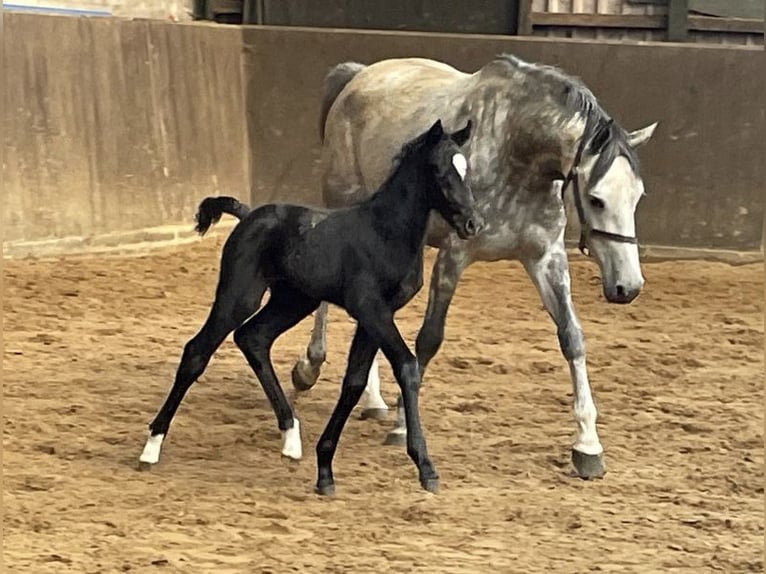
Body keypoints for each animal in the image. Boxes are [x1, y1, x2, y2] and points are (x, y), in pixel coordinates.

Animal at [141, 120, 484, 496]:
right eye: (439, 170)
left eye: (466, 169)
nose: (473, 224)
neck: (383, 233)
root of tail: (248, 214)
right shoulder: (370, 309)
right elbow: (406, 366)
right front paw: (426, 468)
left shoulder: (376, 316)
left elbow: (354, 382)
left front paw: (325, 470)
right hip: (239, 295)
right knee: (197, 351)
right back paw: (151, 447)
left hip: (293, 300)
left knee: (253, 337)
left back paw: (291, 436)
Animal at [292, 54, 656, 480]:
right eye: (597, 199)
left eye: (638, 195)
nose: (628, 286)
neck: (518, 150)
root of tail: (359, 76)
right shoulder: (454, 255)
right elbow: (429, 339)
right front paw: (402, 426)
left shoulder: (545, 258)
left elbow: (572, 337)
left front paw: (587, 444)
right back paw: (309, 367)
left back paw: (372, 400)